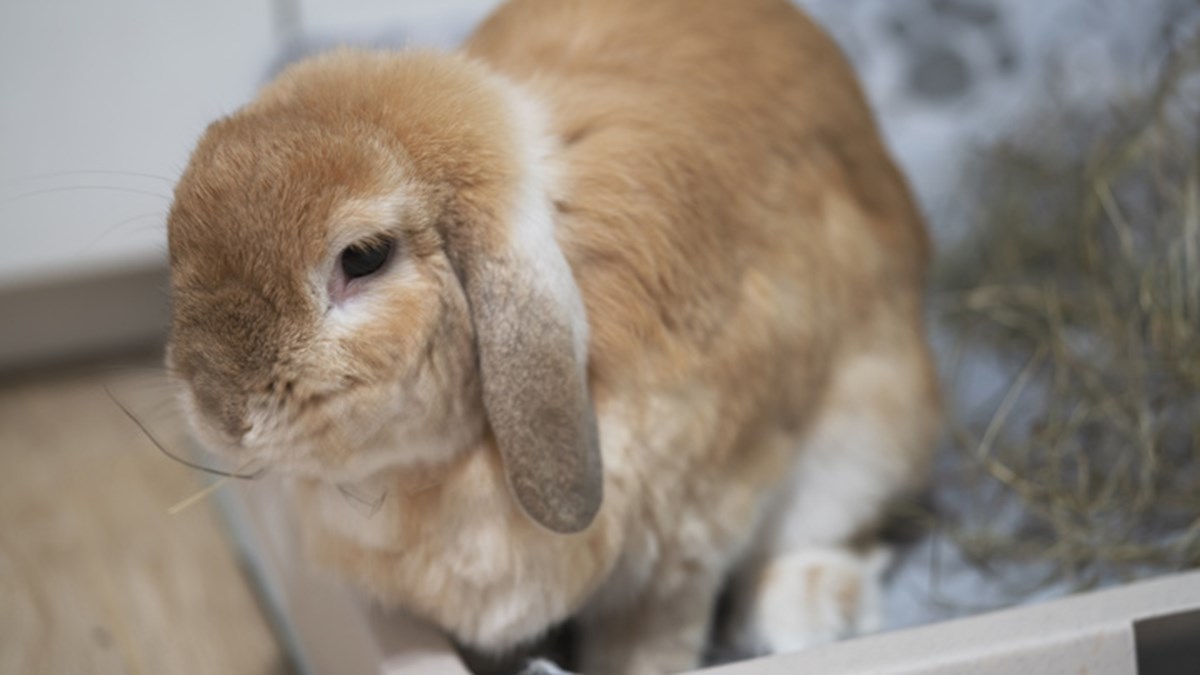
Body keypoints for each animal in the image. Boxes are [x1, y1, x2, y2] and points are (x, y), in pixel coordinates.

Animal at [164, 0, 940, 672]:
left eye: (363, 257)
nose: (223, 412)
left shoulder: (686, 551)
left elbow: (651, 642)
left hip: (865, 437)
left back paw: (810, 606)